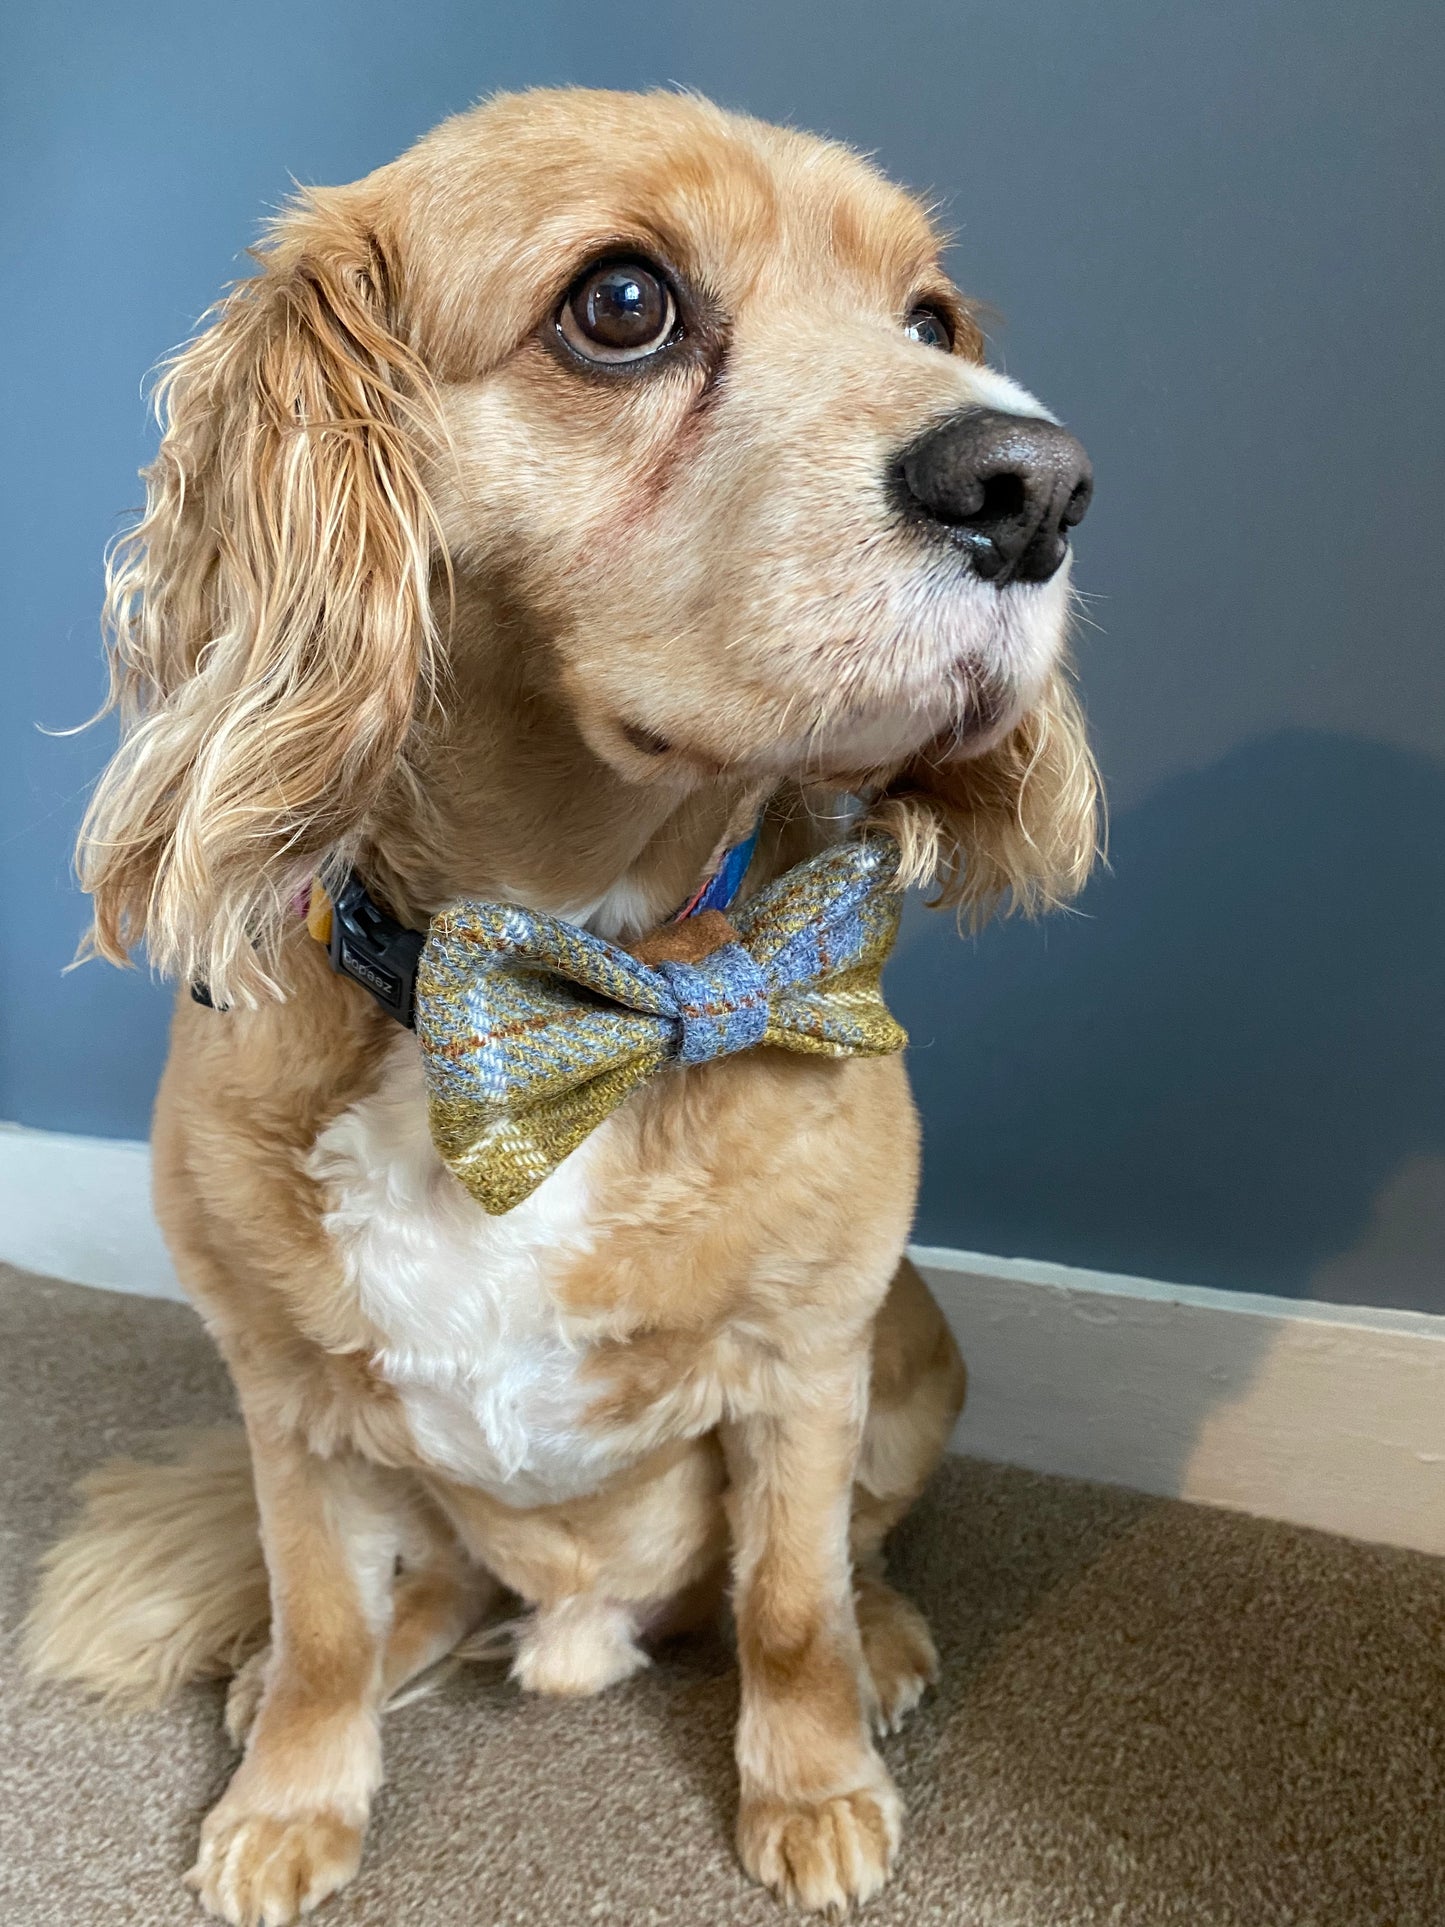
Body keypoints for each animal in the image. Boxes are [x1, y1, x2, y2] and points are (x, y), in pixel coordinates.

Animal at [28, 86, 1094, 1911]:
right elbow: (322, 1621)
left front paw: (812, 1784)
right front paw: (290, 1796)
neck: (569, 977)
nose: (1034, 486)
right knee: (430, 1591)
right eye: (622, 303)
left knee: (830, 1562)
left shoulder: (809, 1357)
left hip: (917, 1353)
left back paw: (881, 1641)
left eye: (930, 321)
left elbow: (788, 1603)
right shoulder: (287, 1400)